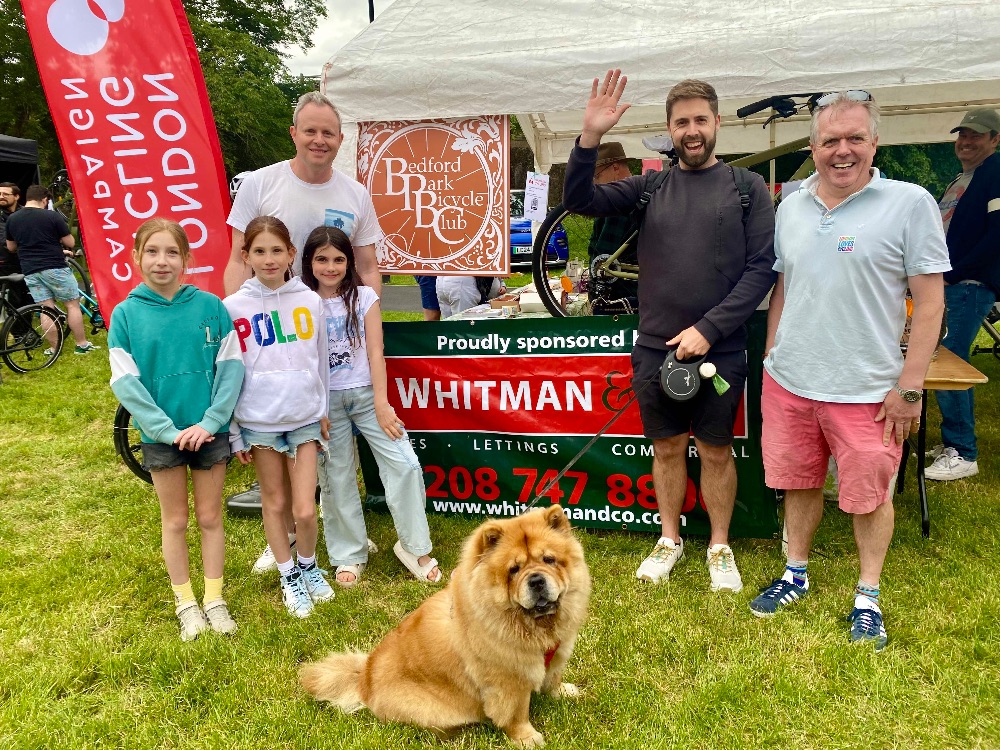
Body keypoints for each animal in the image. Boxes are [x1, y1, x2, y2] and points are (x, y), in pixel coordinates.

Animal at [300, 506, 588, 748]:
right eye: (513, 570)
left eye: (549, 560)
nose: (537, 580)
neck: (536, 627)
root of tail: (364, 679)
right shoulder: (508, 680)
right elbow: (516, 713)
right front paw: (528, 739)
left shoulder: (556, 653)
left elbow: (553, 678)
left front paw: (564, 692)